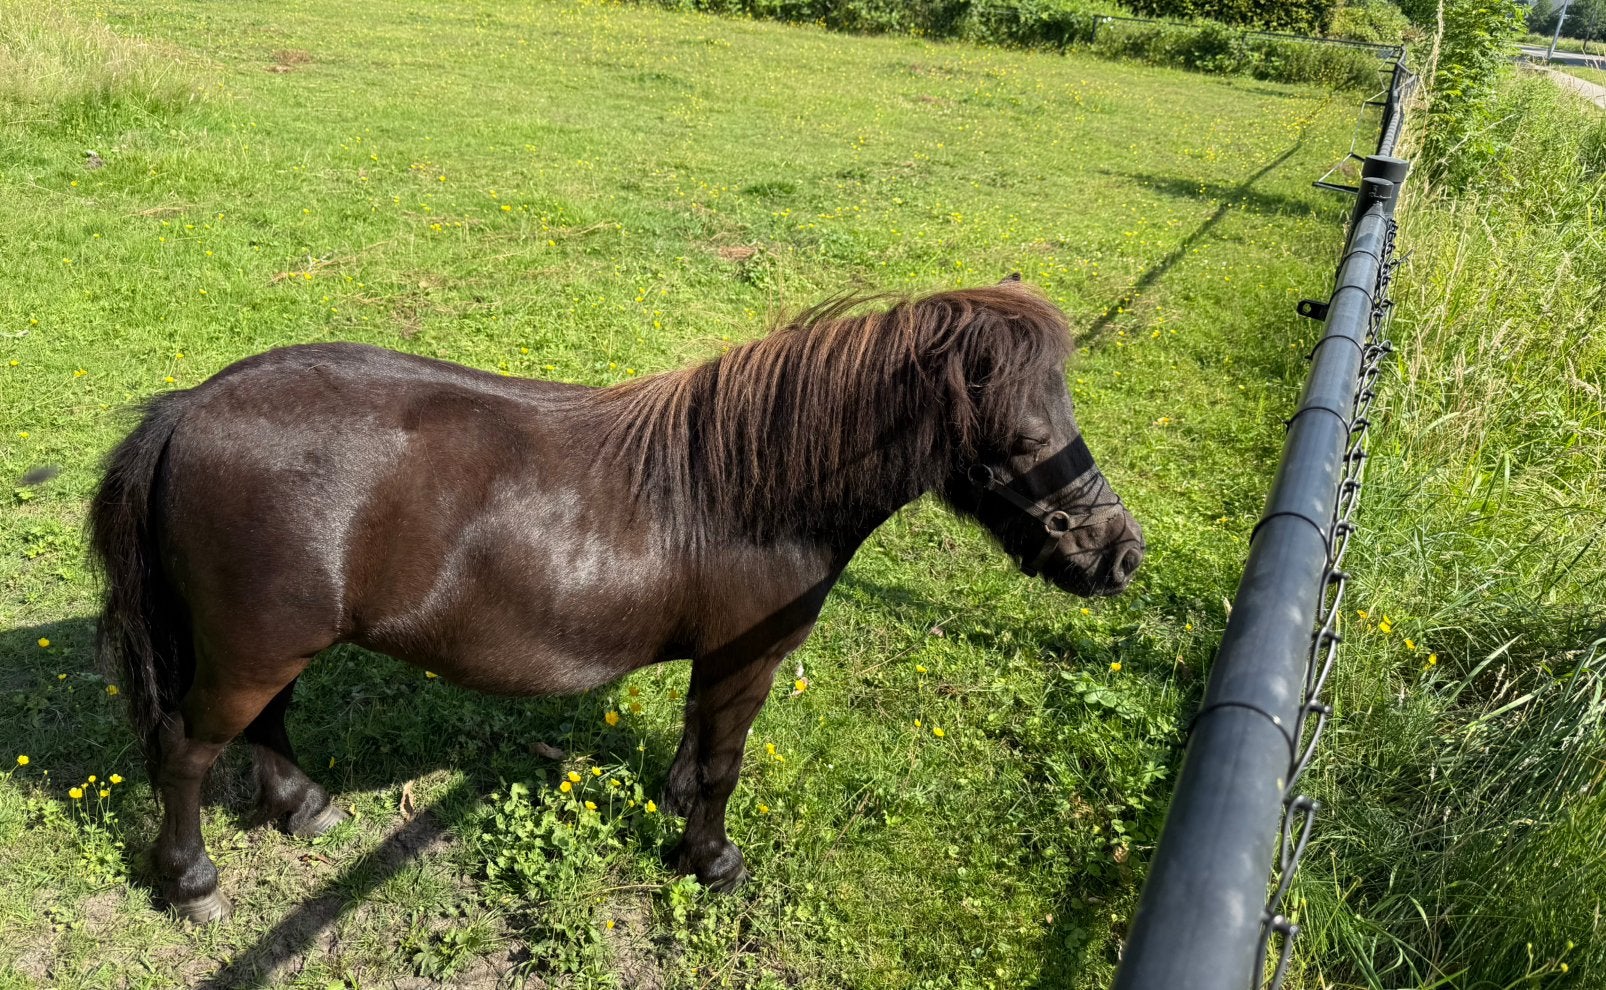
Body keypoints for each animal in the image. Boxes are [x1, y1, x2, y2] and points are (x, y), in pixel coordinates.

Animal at [88, 276, 1144, 923]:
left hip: (274, 644)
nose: (1120, 555)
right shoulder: (746, 660)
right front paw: (710, 859)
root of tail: (187, 408)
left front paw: (672, 803)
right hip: (253, 648)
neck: (750, 488)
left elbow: (695, 745)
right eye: (1022, 436)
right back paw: (191, 883)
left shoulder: (717, 662)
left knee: (265, 724)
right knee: (185, 752)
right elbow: (723, 767)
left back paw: (302, 807)